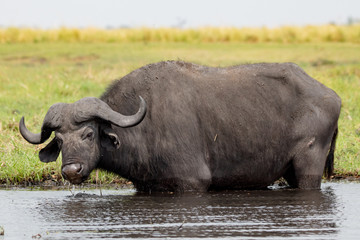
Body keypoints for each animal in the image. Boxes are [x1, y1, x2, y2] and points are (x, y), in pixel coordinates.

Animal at [19, 61, 340, 192]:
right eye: (60, 140)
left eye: (88, 133)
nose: (71, 171)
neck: (142, 127)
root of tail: (331, 95)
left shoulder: (192, 182)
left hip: (308, 167)